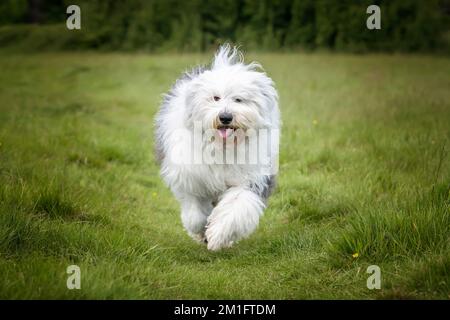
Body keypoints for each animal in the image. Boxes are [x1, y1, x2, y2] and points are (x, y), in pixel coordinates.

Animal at [156, 44, 280, 250]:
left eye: (238, 99)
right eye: (215, 98)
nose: (225, 117)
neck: (223, 146)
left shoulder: (250, 179)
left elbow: (235, 209)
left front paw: (217, 236)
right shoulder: (190, 178)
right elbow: (194, 214)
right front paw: (201, 232)